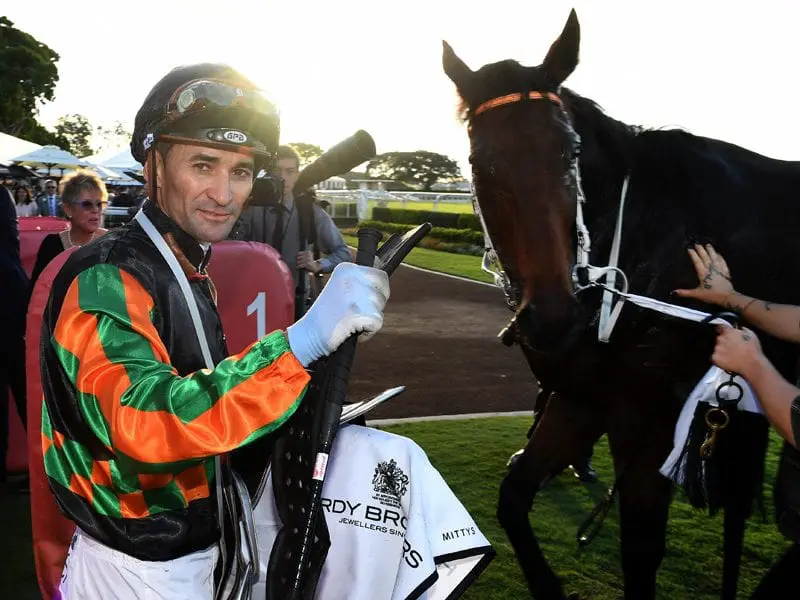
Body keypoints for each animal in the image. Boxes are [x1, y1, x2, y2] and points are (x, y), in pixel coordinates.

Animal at [444, 8, 800, 600]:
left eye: (570, 153)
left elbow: (640, 548)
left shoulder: (653, 417)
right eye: (479, 162)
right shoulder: (580, 395)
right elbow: (514, 494)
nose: (553, 317)